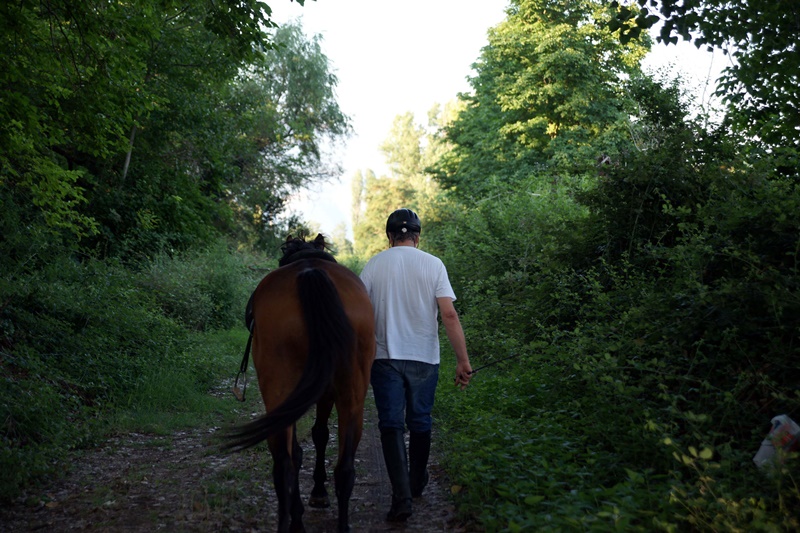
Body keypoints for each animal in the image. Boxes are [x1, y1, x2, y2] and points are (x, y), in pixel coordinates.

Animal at [225, 234, 376, 532]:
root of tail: (310, 273)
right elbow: (319, 435)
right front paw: (318, 493)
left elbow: (313, 438)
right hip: (350, 396)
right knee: (343, 468)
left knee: (286, 462)